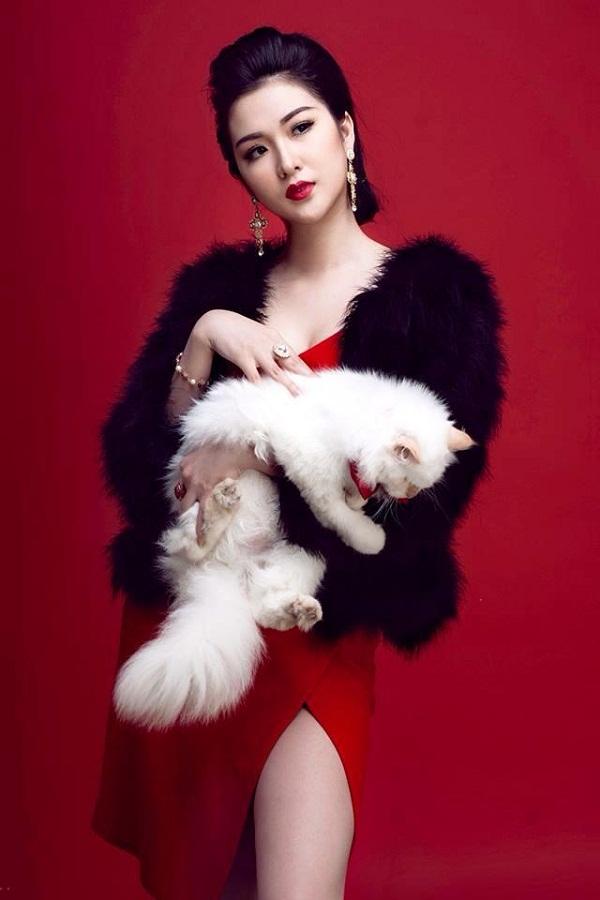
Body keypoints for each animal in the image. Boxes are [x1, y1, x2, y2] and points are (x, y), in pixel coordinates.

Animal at [113, 367, 475, 729]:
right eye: (409, 482)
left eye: (417, 488)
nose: (407, 498)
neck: (363, 422)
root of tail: (219, 572)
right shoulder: (307, 462)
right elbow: (339, 512)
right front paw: (371, 536)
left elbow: (353, 495)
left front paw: (360, 500)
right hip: (216, 503)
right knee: (189, 542)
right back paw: (219, 509)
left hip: (304, 559)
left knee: (261, 604)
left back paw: (300, 611)